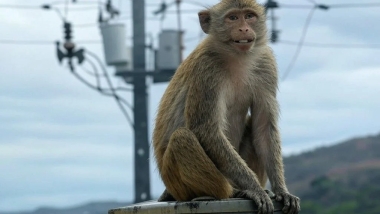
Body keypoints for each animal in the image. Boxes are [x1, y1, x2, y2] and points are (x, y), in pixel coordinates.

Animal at [151, 0, 300, 214]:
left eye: (249, 16)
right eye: (232, 18)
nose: (244, 28)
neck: (236, 58)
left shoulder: (266, 65)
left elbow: (263, 128)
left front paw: (282, 190)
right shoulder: (207, 70)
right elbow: (206, 130)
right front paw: (255, 189)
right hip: (175, 182)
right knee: (182, 138)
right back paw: (228, 192)